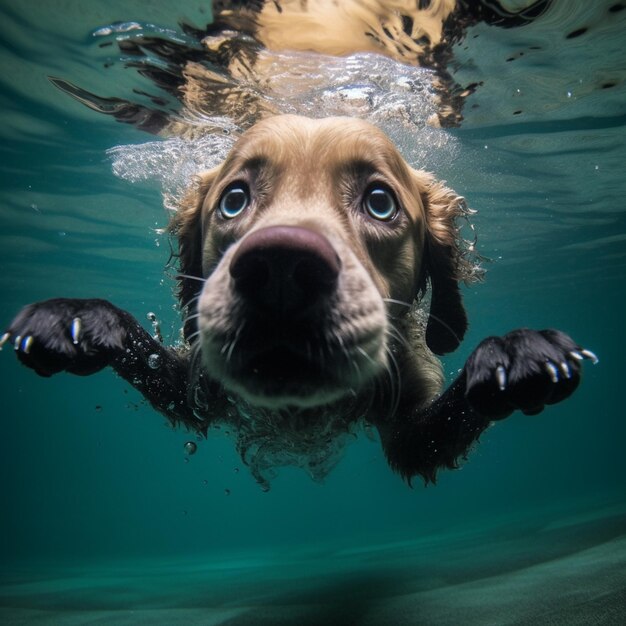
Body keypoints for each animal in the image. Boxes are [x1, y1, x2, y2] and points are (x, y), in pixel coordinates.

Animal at [1, 114, 596, 486]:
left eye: (380, 202)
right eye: (234, 199)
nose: (283, 270)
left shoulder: (413, 428)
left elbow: (448, 413)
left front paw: (513, 356)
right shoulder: (197, 388)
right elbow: (144, 355)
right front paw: (79, 319)